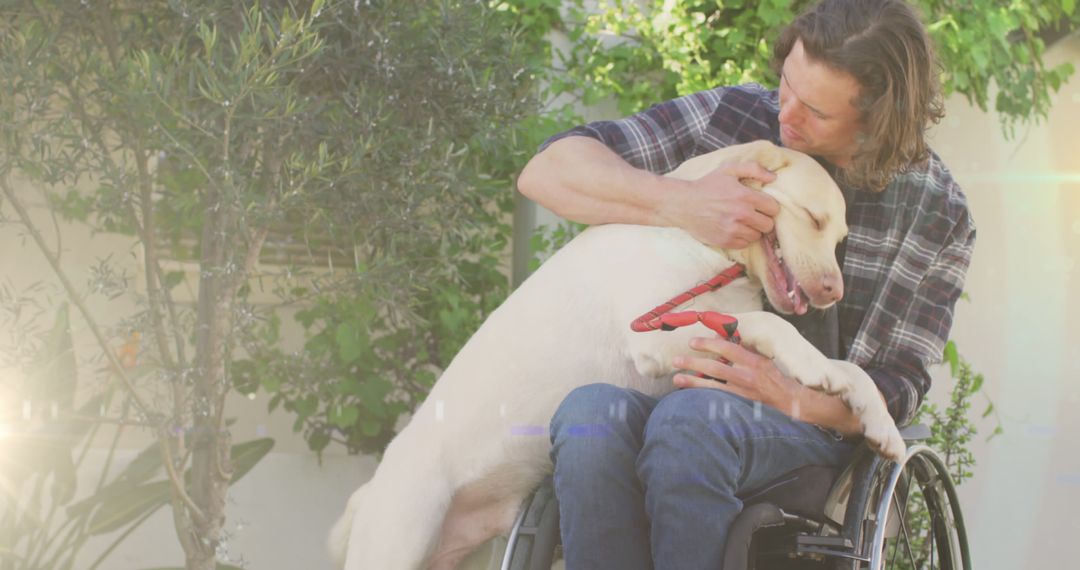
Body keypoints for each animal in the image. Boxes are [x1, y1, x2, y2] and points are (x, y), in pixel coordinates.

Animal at [326, 140, 902, 565]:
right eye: (812, 218)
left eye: (842, 237)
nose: (833, 292)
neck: (703, 245)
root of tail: (368, 491)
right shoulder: (657, 334)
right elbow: (771, 326)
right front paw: (812, 365)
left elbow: (852, 371)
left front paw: (879, 421)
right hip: (398, 541)